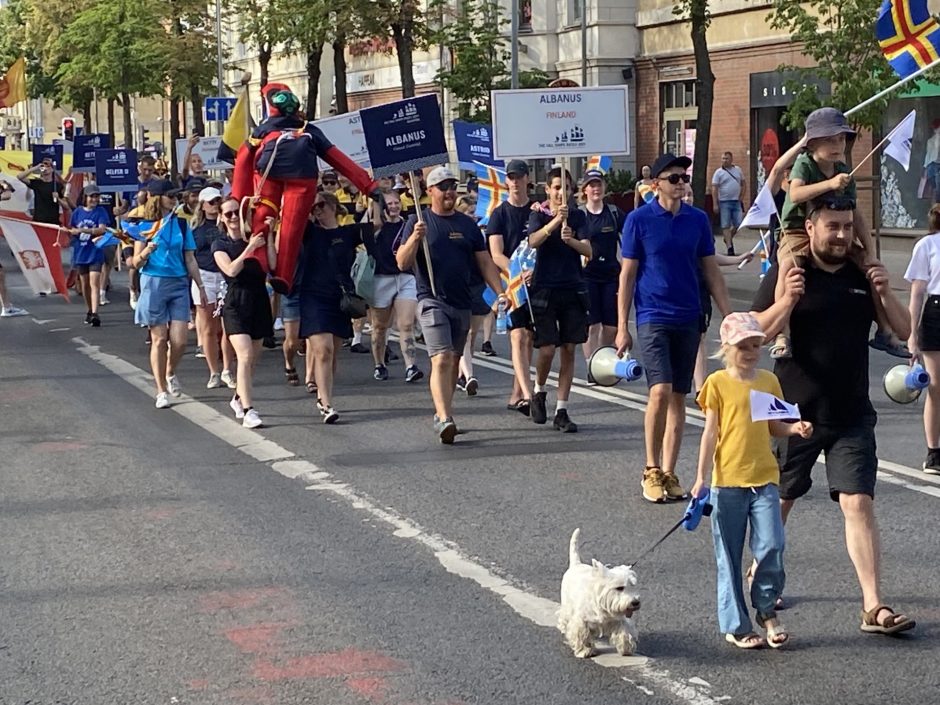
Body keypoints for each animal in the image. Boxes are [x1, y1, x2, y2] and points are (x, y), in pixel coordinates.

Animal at [560, 524, 640, 656]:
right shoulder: (581, 620)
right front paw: (585, 650)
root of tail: (576, 564)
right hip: (567, 604)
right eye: (619, 588)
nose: (635, 602)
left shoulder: (619, 620)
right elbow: (582, 635)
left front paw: (626, 648)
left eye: (633, 585)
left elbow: (624, 631)